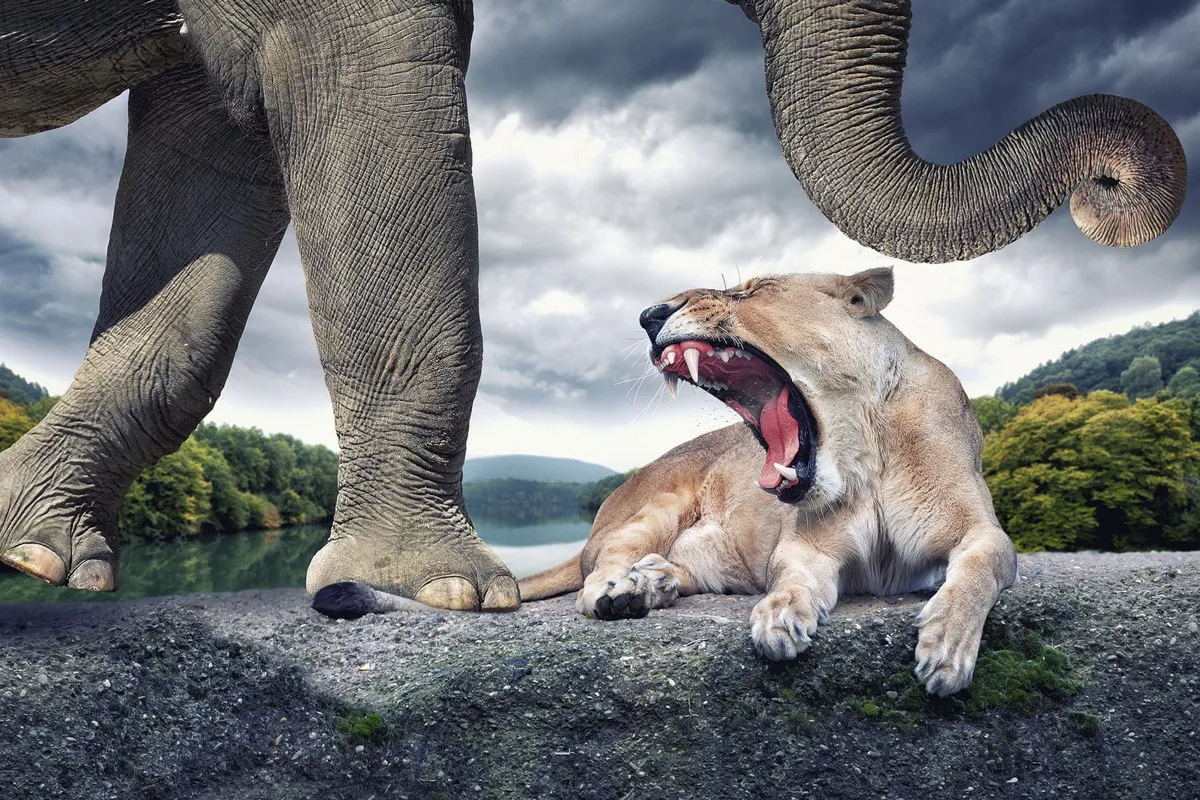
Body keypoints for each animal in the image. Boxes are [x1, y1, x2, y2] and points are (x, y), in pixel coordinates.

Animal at [519, 267, 1018, 696]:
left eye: (753, 290)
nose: (649, 315)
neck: (867, 451)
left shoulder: (981, 530)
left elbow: (983, 567)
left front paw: (946, 646)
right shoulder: (806, 545)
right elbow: (791, 576)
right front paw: (781, 615)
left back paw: (657, 578)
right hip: (657, 505)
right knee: (601, 567)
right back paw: (624, 590)